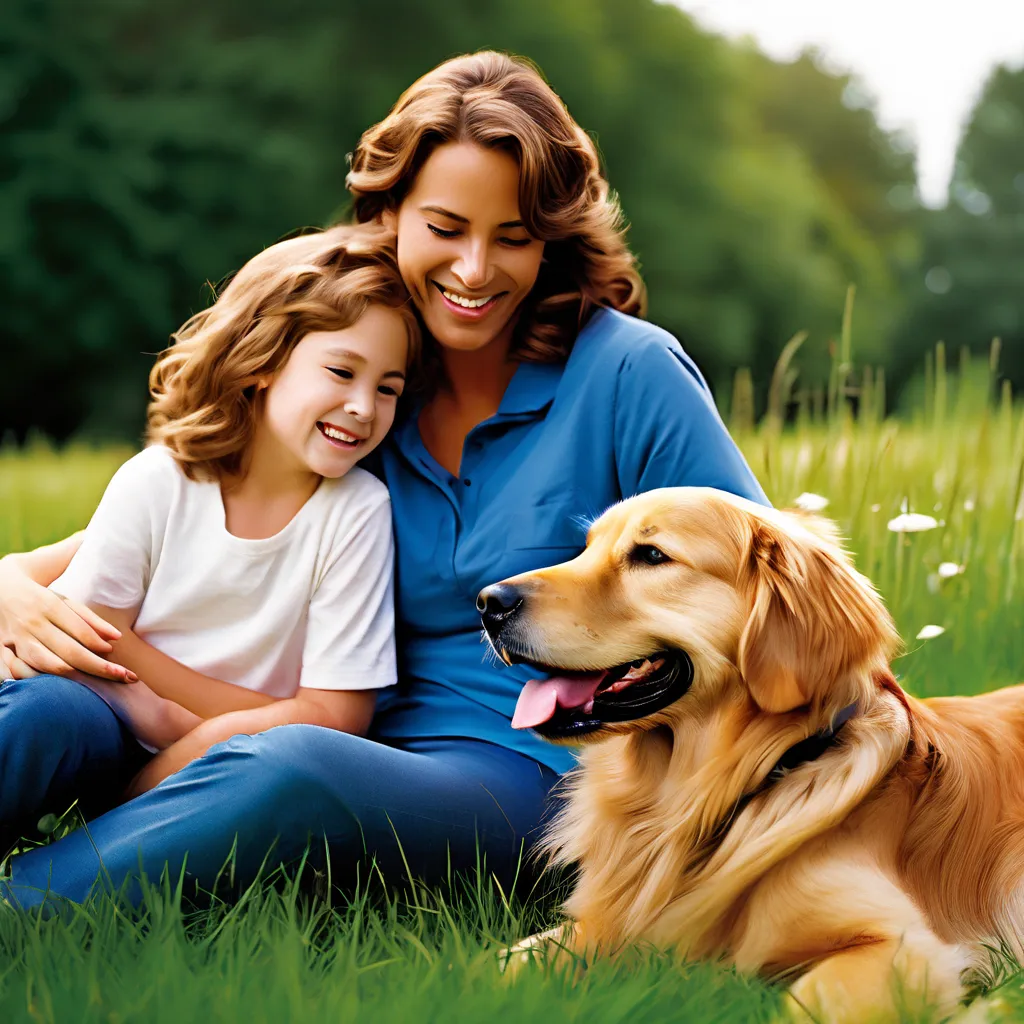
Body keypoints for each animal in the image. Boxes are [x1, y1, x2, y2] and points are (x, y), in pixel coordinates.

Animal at [479, 489, 1024, 1024]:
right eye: (585, 548)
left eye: (651, 555)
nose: (487, 602)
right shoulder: (599, 929)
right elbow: (500, 962)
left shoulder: (909, 948)